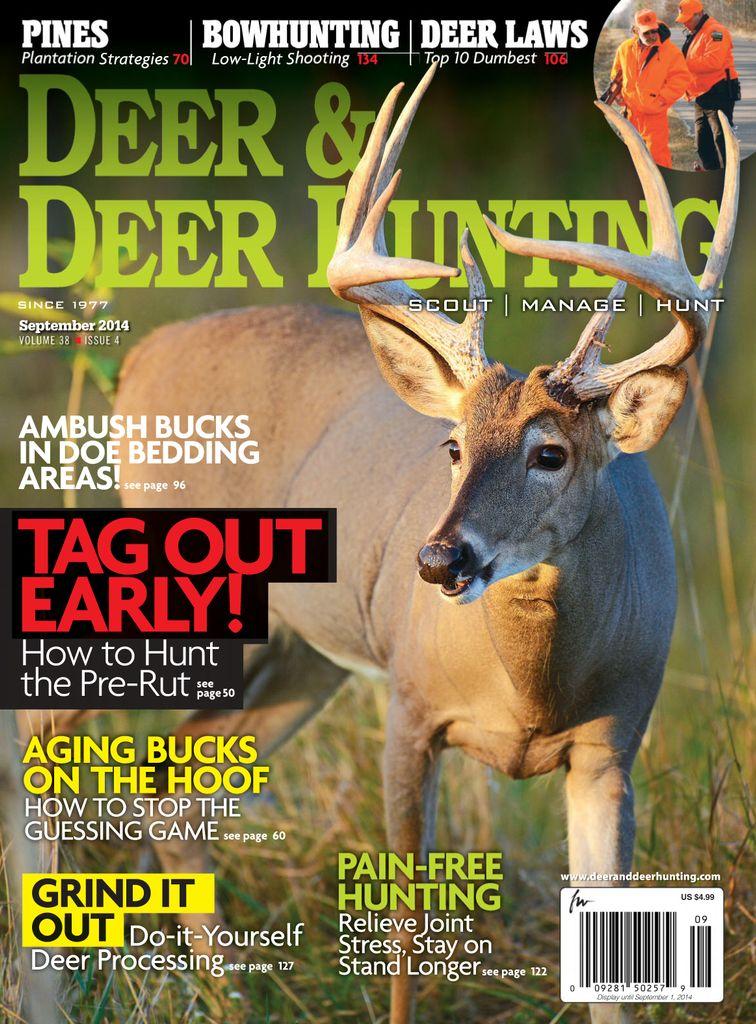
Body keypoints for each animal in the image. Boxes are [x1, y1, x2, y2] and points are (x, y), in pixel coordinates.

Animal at [26, 65, 739, 1024]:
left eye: (550, 453)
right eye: (453, 446)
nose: (437, 561)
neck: (530, 692)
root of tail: (139, 358)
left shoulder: (612, 745)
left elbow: (612, 968)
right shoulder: (409, 702)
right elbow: (403, 928)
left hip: (294, 653)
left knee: (177, 798)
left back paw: (228, 995)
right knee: (42, 729)